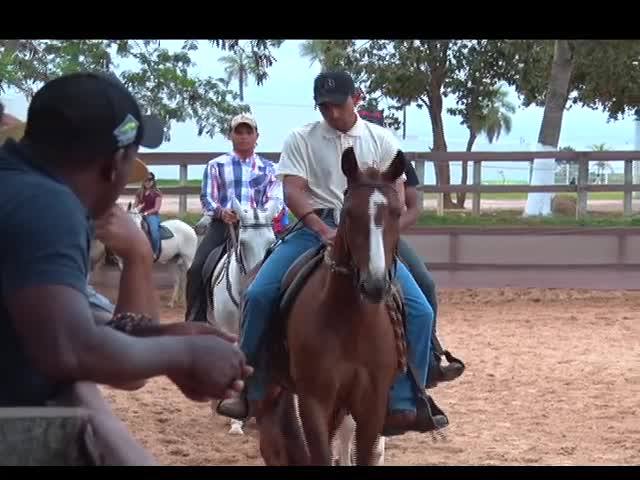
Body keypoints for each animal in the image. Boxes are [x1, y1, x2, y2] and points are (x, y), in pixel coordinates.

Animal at [254, 147, 404, 464]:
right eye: (349, 213)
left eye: (397, 212)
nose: (374, 284)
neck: (349, 322)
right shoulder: (314, 402)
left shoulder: (371, 405)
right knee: (272, 442)